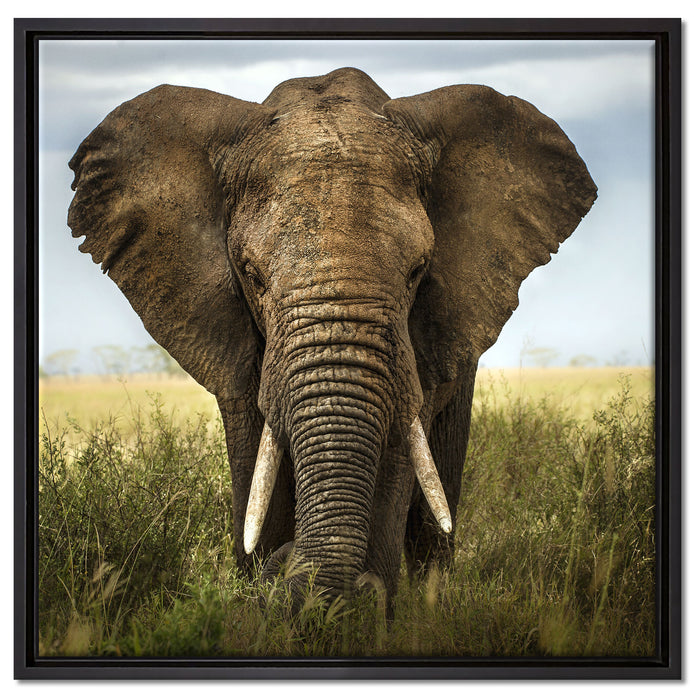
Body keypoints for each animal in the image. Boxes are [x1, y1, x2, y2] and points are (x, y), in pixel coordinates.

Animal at [67, 67, 596, 608]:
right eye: (252, 275)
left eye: (418, 271)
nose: (288, 565)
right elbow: (256, 460)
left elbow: (396, 454)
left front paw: (363, 605)